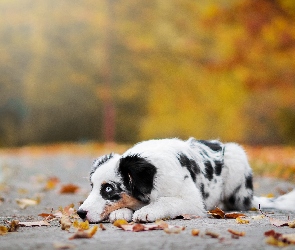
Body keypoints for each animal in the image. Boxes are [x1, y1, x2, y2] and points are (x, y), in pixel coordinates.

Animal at [77, 139, 295, 223]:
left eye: (108, 189)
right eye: (92, 187)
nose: (80, 213)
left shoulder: (193, 201)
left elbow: (167, 201)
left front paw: (148, 211)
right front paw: (121, 212)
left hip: (236, 161)